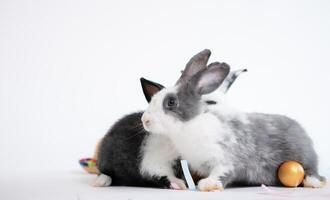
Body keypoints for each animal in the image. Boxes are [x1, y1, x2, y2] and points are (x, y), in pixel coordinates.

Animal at [141, 49, 326, 191]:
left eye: (171, 102)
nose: (145, 120)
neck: (191, 125)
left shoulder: (226, 159)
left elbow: (222, 173)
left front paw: (208, 185)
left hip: (304, 157)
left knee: (312, 171)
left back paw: (313, 182)